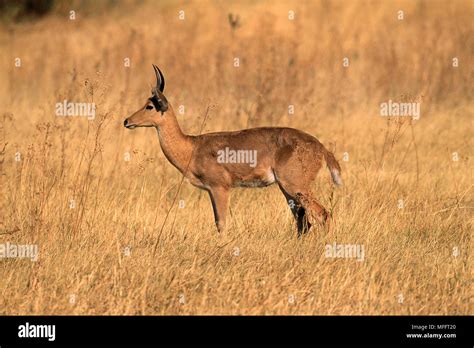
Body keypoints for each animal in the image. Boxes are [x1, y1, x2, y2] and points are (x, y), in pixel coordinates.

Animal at [124, 65, 342, 237]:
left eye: (150, 105)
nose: (127, 121)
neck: (192, 147)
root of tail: (321, 148)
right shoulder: (211, 190)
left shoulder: (220, 188)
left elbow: (221, 224)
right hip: (287, 190)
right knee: (303, 222)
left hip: (296, 186)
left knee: (322, 214)